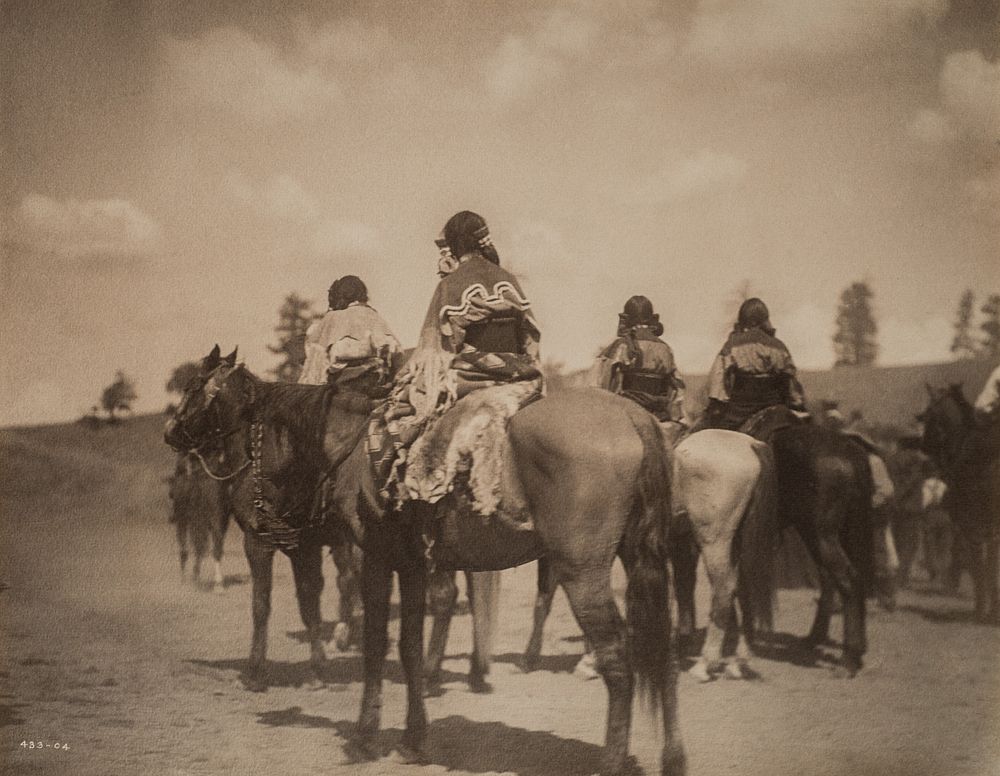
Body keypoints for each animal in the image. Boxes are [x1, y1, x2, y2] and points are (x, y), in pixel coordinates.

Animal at [168, 448, 230, 588]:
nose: (170, 494)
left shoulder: (184, 520)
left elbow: (188, 547)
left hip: (185, 520)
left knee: (188, 548)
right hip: (217, 519)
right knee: (215, 546)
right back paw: (218, 583)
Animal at [916, 382, 996, 624]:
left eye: (929, 414)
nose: (924, 447)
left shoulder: (972, 525)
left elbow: (980, 566)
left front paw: (983, 610)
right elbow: (988, 565)